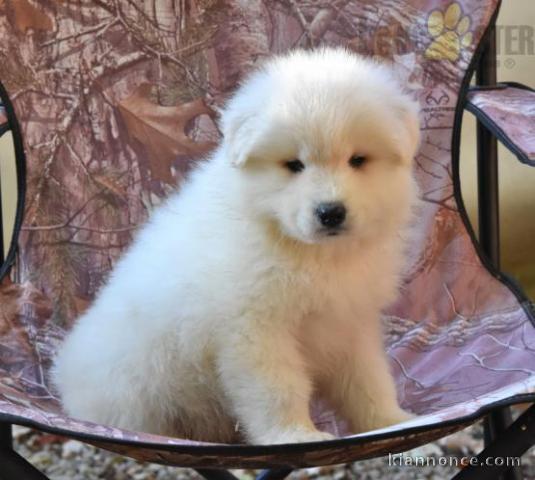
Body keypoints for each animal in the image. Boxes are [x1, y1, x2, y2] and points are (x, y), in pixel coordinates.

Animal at [54, 47, 422, 444]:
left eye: (358, 160)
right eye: (294, 165)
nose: (331, 212)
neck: (308, 252)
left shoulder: (350, 322)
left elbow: (368, 380)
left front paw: (393, 420)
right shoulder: (255, 330)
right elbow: (279, 389)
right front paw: (294, 435)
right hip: (132, 390)